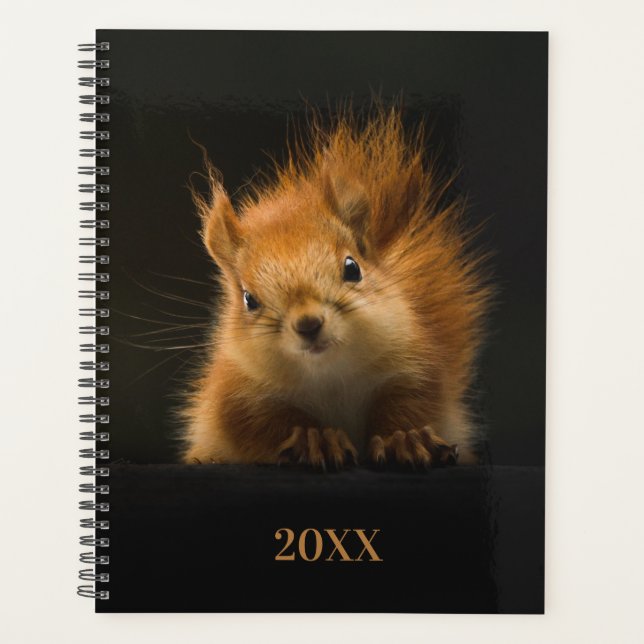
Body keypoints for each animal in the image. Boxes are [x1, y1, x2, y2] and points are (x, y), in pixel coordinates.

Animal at [180, 108, 491, 469]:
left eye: (352, 268)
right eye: (249, 299)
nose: (308, 324)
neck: (329, 376)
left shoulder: (414, 364)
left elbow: (411, 403)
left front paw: (405, 438)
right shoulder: (237, 394)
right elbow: (262, 423)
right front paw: (315, 439)